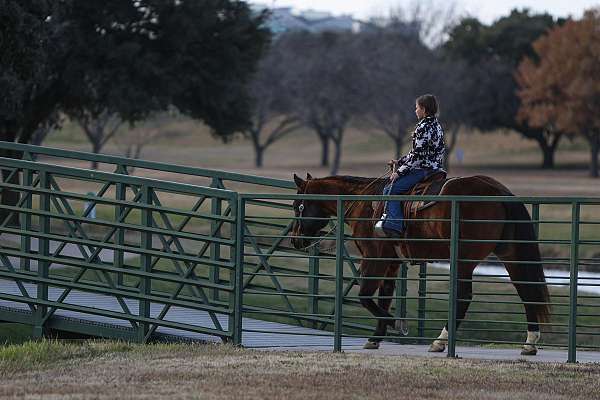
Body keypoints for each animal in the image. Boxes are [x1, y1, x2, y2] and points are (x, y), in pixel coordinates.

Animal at [290, 173, 548, 354]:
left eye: (297, 205)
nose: (295, 239)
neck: (364, 203)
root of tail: (498, 191)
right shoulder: (391, 263)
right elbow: (384, 296)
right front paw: (376, 337)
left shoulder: (374, 258)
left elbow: (365, 296)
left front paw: (396, 324)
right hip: (510, 253)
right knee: (526, 291)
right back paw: (530, 343)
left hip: (464, 260)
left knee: (463, 297)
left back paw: (439, 342)